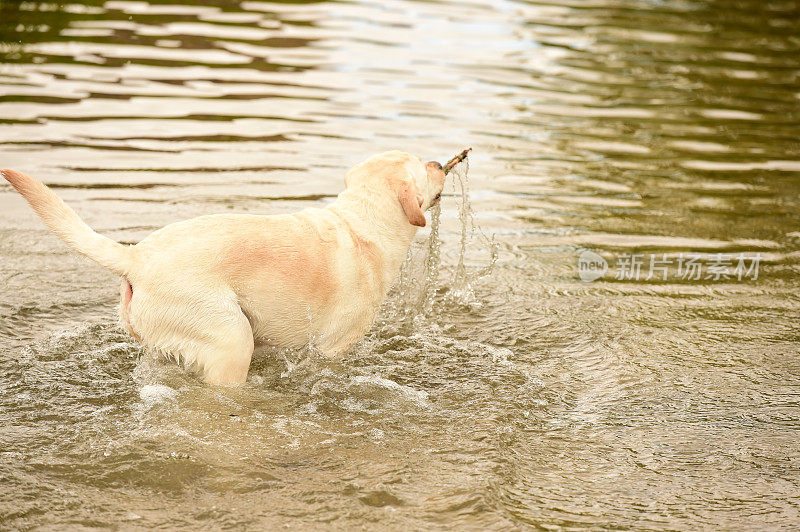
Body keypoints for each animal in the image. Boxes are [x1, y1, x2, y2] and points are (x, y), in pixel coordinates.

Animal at [3, 152, 446, 384]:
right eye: (422, 166)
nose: (441, 162)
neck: (360, 223)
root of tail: (137, 256)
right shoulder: (333, 347)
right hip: (231, 337)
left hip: (163, 340)